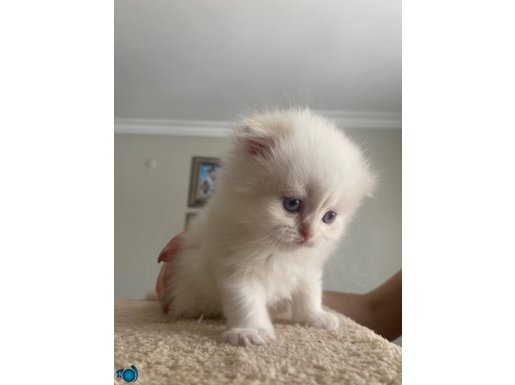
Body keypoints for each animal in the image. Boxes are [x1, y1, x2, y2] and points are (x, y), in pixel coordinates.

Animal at [165, 107, 374, 344]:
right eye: (292, 204)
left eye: (329, 217)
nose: (309, 234)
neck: (276, 250)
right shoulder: (236, 270)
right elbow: (247, 304)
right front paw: (251, 332)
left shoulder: (306, 272)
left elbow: (309, 296)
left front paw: (315, 318)